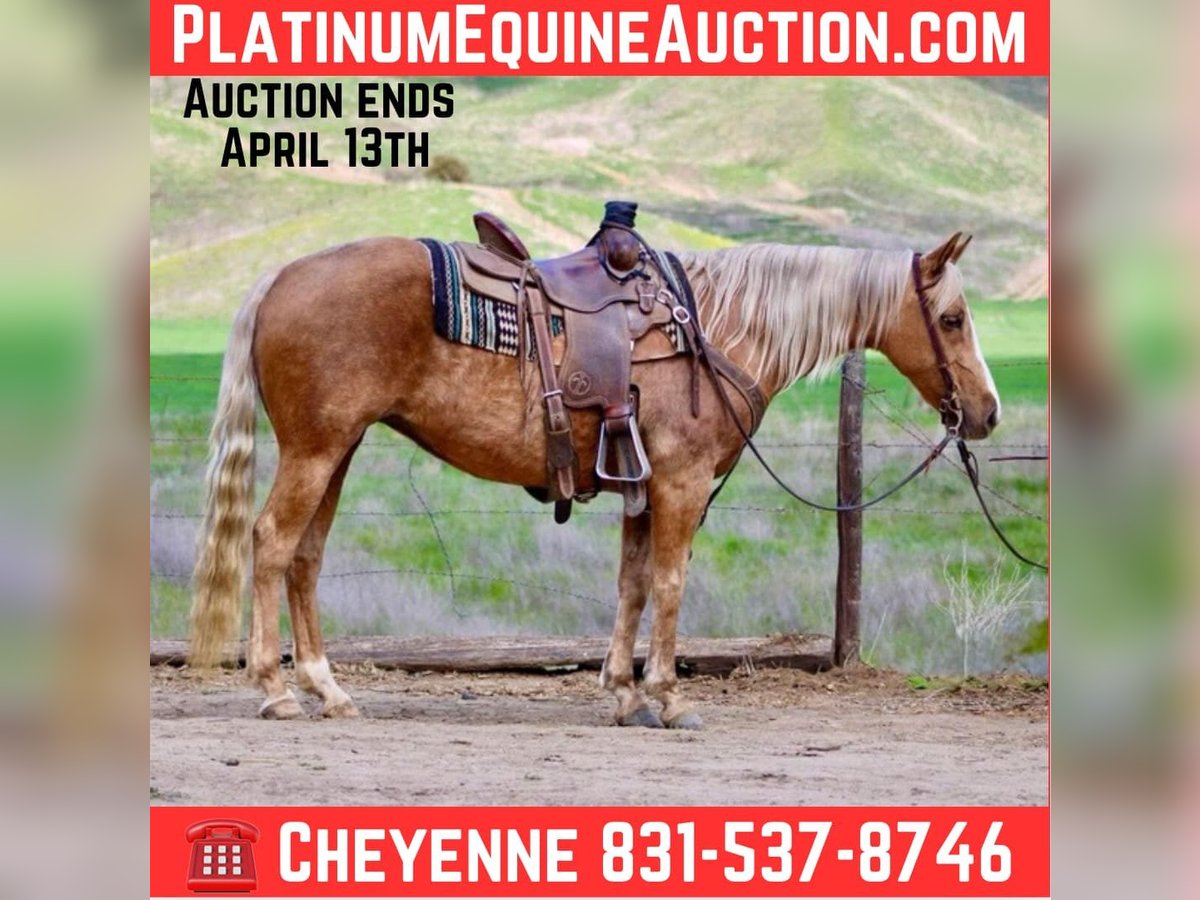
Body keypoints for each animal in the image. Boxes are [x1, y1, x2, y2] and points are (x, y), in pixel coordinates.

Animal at [188, 230, 998, 728]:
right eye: (953, 319)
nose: (985, 411)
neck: (716, 328)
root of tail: (283, 276)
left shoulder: (644, 487)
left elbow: (632, 583)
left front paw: (623, 693)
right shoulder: (681, 485)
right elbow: (669, 582)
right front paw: (667, 697)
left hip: (338, 449)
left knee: (305, 557)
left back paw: (327, 689)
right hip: (315, 450)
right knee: (270, 543)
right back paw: (275, 692)